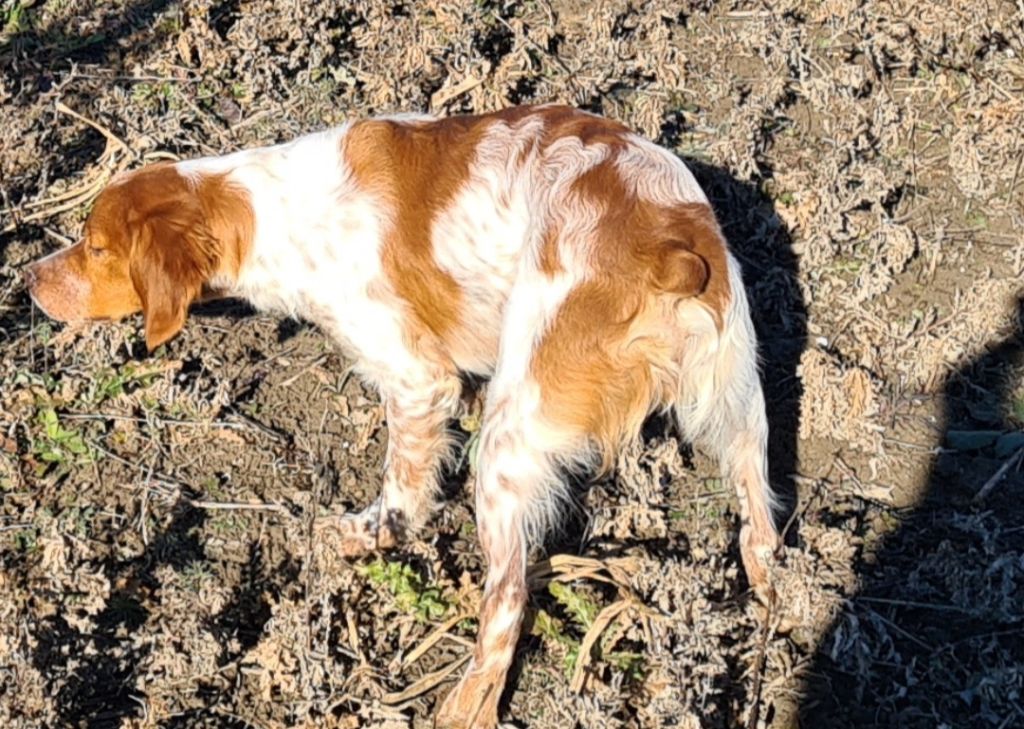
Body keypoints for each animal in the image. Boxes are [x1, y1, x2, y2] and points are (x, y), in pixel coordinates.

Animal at [25, 105, 774, 724]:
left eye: (95, 248)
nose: (27, 278)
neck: (271, 210)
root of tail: (667, 243)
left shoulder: (417, 378)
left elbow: (403, 489)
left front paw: (364, 536)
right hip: (738, 401)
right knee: (761, 524)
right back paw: (773, 611)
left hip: (510, 433)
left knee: (507, 600)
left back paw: (463, 704)